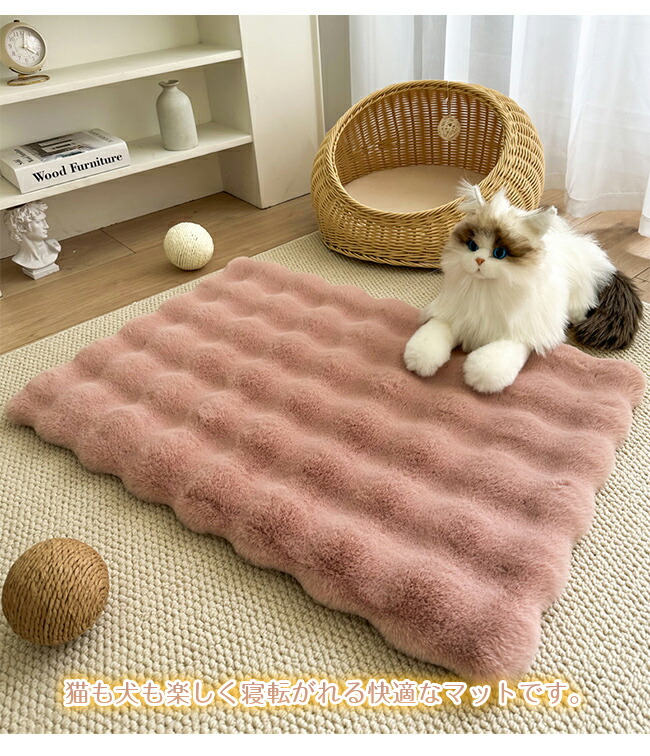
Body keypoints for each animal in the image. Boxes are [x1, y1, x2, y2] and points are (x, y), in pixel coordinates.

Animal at [403, 181, 642, 393]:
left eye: (500, 253)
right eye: (472, 246)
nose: (479, 260)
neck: (486, 291)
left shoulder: (520, 334)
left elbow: (491, 366)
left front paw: (477, 375)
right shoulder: (452, 316)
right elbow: (427, 340)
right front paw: (419, 360)